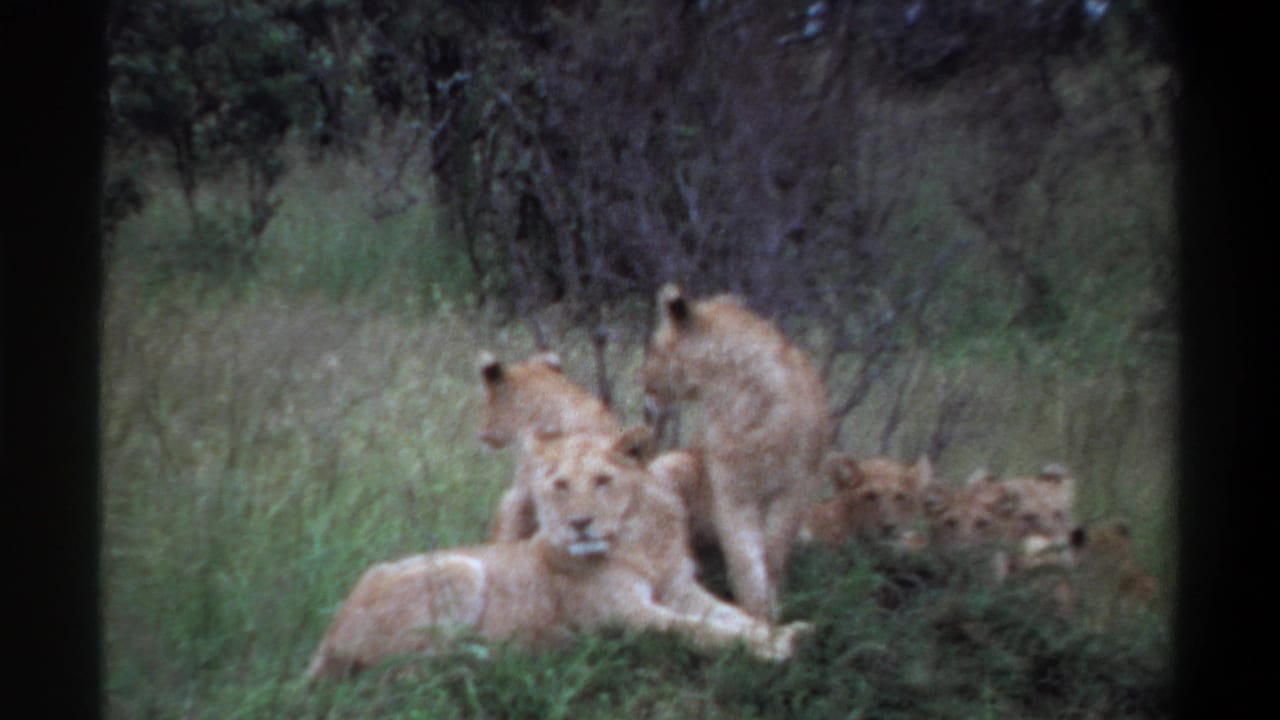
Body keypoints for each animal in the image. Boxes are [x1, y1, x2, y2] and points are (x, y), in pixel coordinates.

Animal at [306, 430, 810, 680]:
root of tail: (326, 638)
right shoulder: (624, 616)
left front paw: (784, 632)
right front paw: (773, 648)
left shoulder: (680, 588)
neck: (639, 541)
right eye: (560, 486)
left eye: (603, 481)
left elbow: (732, 616)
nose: (579, 523)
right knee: (404, 671)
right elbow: (698, 630)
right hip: (459, 568)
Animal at [642, 284, 831, 620]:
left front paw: (770, 607)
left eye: (655, 348)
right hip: (673, 467)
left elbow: (772, 552)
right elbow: (745, 557)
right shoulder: (732, 492)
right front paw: (757, 612)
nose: (643, 385)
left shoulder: (793, 490)